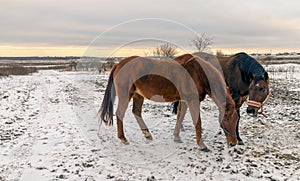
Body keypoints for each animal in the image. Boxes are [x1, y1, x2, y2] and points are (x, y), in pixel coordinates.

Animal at [99, 55, 238, 151]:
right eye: (226, 118)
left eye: (236, 119)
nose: (233, 143)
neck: (199, 73)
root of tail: (118, 64)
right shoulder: (193, 100)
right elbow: (197, 122)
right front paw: (202, 145)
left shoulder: (184, 100)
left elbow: (180, 117)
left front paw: (176, 137)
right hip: (125, 95)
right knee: (120, 114)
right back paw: (123, 138)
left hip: (138, 96)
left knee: (136, 112)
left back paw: (147, 134)